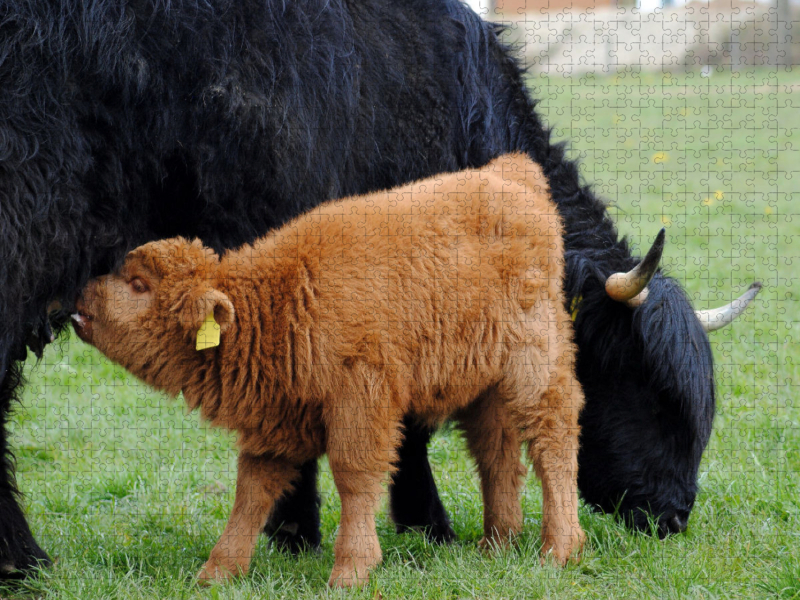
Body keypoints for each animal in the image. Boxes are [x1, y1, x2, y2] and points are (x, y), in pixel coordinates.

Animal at [73, 152, 588, 588]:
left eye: (139, 285)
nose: (80, 296)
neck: (278, 301)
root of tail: (510, 174)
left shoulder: (361, 400)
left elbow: (354, 476)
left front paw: (351, 570)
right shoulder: (276, 421)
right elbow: (251, 491)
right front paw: (217, 572)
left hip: (536, 367)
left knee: (553, 441)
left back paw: (559, 549)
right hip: (486, 385)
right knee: (496, 452)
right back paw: (496, 545)